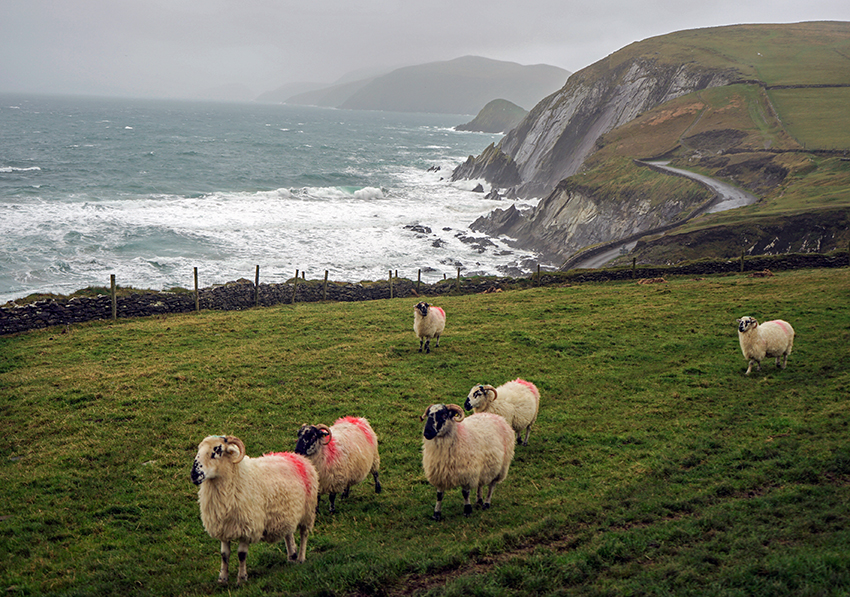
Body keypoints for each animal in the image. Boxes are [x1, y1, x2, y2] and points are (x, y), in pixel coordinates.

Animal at [189, 436, 318, 584]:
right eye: (199, 450)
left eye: (216, 451)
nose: (194, 474)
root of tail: (297, 457)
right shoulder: (223, 526)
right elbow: (224, 555)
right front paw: (222, 579)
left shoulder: (248, 526)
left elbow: (241, 554)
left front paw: (241, 579)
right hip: (287, 513)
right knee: (288, 534)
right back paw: (292, 557)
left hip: (308, 512)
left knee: (304, 534)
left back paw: (301, 558)